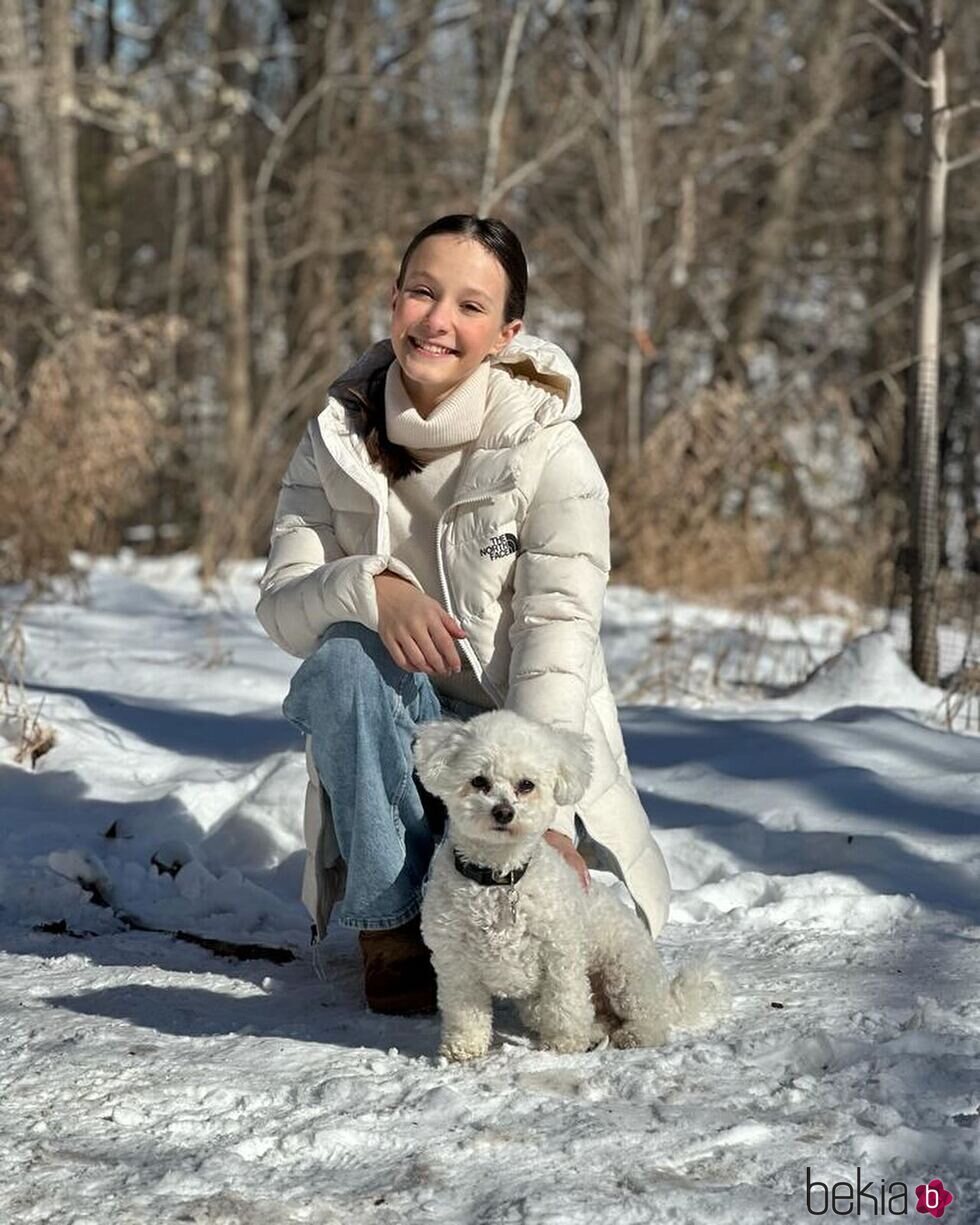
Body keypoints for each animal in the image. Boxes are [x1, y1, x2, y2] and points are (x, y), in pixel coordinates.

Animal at [409, 710, 725, 1063]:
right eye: (479, 781)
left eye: (526, 785)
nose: (504, 812)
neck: (499, 877)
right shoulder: (456, 963)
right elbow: (465, 1012)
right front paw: (463, 1048)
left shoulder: (560, 953)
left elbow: (566, 1002)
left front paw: (564, 1044)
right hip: (543, 1002)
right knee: (595, 1015)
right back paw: (597, 1032)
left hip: (625, 972)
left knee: (650, 1017)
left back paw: (632, 1034)